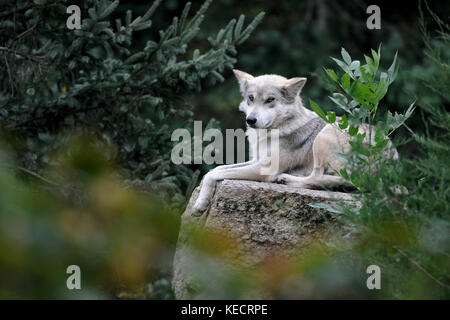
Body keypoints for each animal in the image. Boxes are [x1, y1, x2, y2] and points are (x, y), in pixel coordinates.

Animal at [192, 69, 400, 212]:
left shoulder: (264, 169)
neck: (274, 131)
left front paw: (199, 205)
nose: (250, 120)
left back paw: (287, 180)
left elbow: (213, 174)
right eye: (251, 98)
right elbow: (216, 170)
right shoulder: (256, 160)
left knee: (320, 178)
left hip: (325, 135)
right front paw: (201, 199)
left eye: (270, 100)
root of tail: (392, 160)